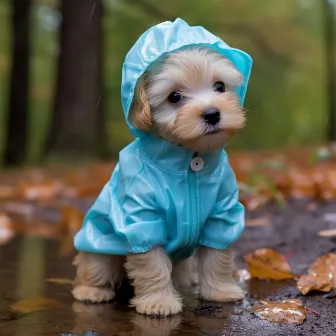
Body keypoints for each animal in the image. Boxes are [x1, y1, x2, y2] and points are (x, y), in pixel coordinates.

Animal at [72, 46, 245, 316]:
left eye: (220, 86)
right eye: (174, 96)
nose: (212, 113)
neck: (190, 162)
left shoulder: (222, 212)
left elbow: (218, 255)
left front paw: (220, 290)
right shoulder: (143, 217)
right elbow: (151, 263)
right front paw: (159, 302)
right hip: (97, 243)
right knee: (95, 266)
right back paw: (91, 291)